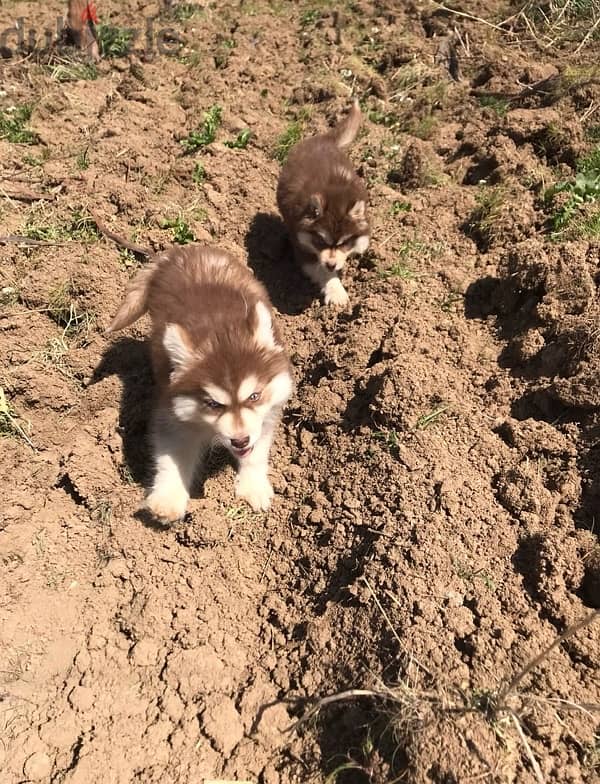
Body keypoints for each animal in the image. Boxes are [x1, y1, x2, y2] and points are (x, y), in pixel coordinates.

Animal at [109, 245, 296, 524]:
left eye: (254, 396)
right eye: (213, 404)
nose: (240, 441)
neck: (222, 335)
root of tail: (181, 251)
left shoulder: (268, 413)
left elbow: (258, 451)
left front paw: (252, 485)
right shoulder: (171, 416)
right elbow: (173, 457)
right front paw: (169, 498)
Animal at [276, 99, 370, 306]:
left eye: (343, 243)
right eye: (320, 241)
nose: (331, 264)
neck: (335, 196)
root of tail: (324, 139)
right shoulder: (303, 248)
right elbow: (322, 272)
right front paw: (336, 291)